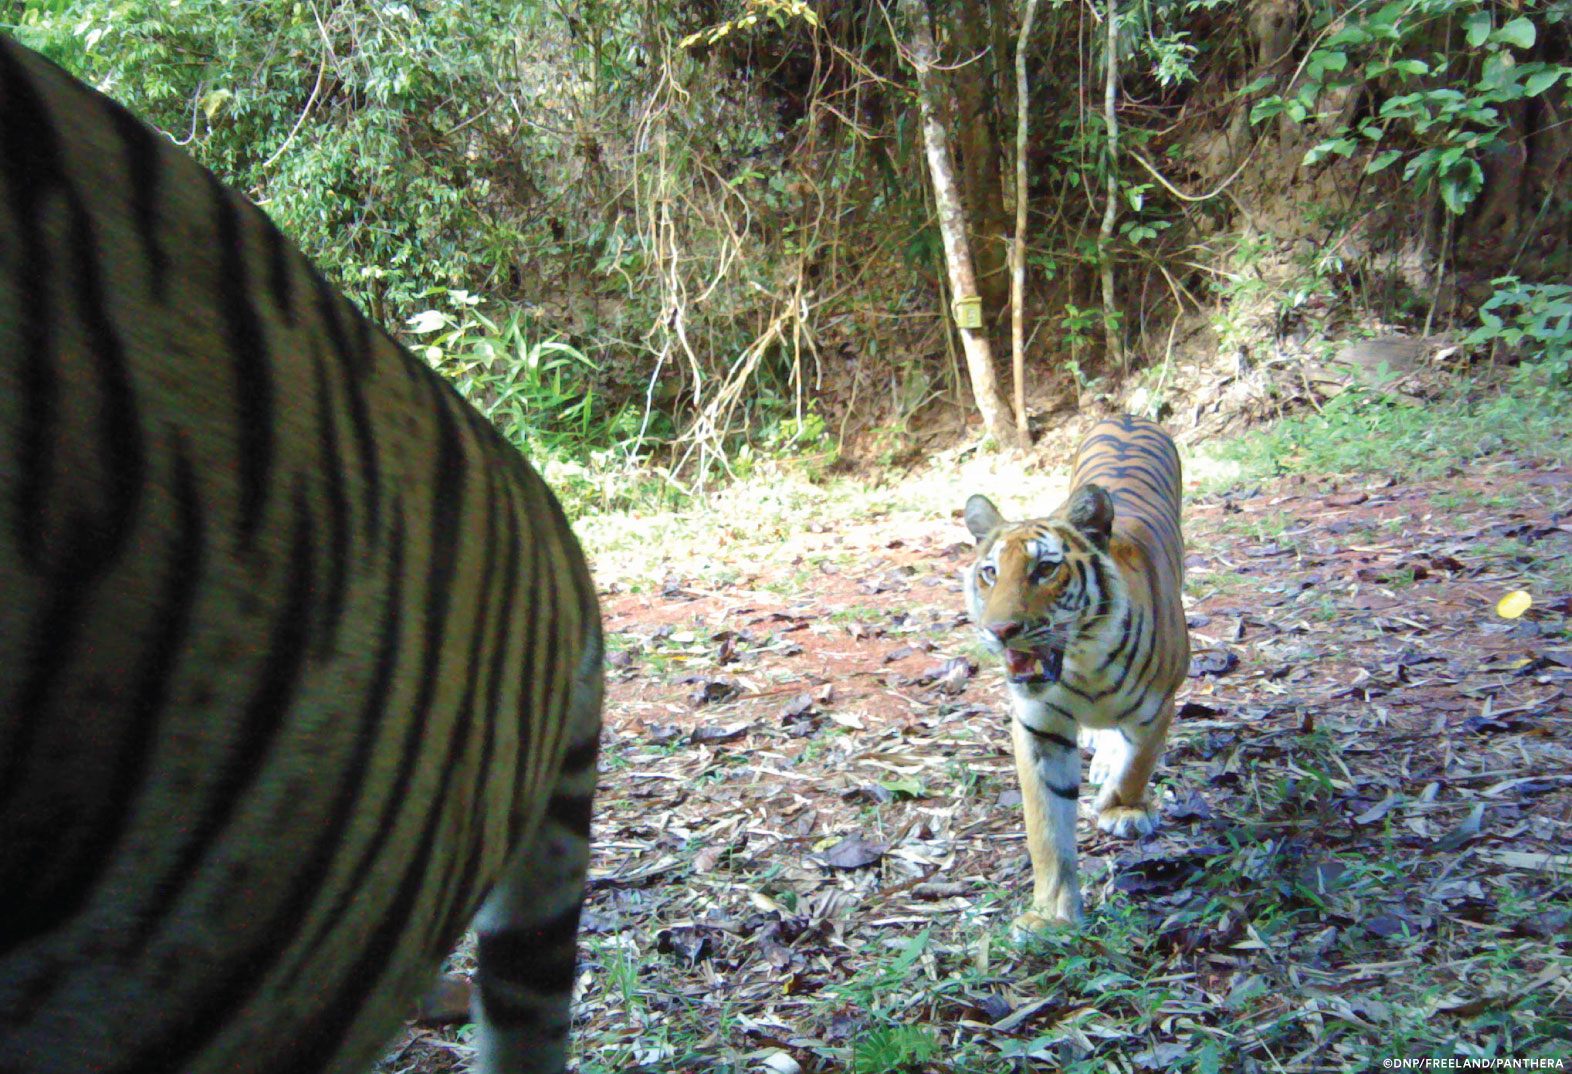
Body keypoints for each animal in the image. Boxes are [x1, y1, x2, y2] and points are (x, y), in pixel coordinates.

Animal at [962, 415, 1182, 937]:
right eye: (989, 573)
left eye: (1045, 569)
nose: (999, 630)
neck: (1085, 668)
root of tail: (1127, 416)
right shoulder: (1038, 729)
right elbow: (1046, 828)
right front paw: (1050, 914)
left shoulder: (1161, 706)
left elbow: (1138, 762)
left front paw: (1122, 810)